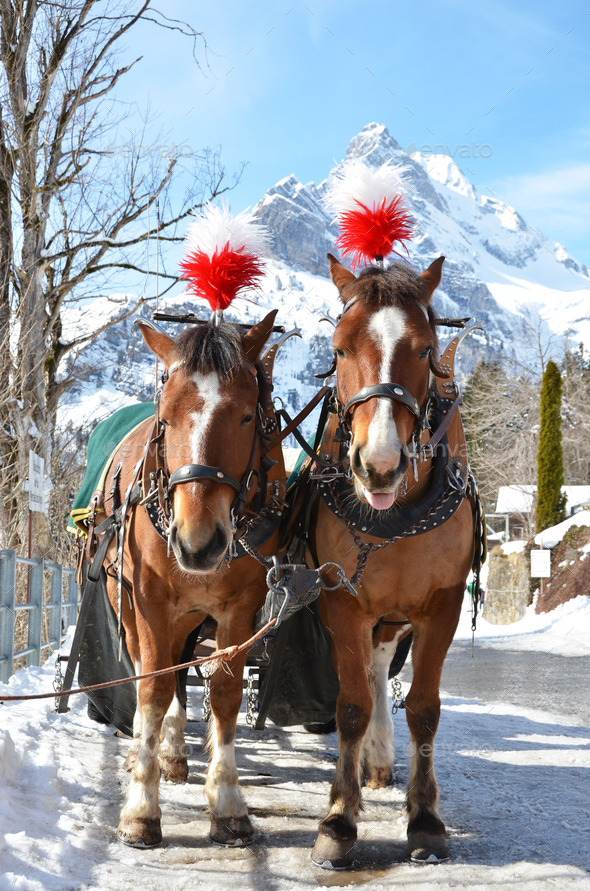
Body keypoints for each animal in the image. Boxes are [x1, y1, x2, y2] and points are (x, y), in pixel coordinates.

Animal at [102, 314, 286, 852]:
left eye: (246, 416)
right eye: (165, 418)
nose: (197, 543)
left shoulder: (241, 606)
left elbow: (223, 692)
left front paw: (227, 805)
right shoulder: (149, 601)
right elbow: (153, 688)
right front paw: (141, 810)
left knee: (181, 671)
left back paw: (174, 753)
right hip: (130, 607)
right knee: (152, 672)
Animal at [310, 254, 476, 868]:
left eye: (426, 351)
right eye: (338, 349)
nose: (379, 466)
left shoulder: (442, 606)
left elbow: (424, 709)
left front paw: (424, 818)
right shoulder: (341, 599)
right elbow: (350, 706)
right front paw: (338, 819)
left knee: (381, 667)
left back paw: (379, 759)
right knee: (368, 677)